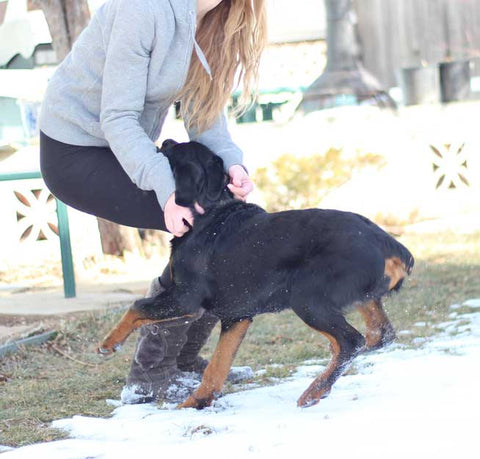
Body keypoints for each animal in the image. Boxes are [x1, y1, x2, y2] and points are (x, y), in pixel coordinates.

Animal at [97, 140, 412, 410]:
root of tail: (391, 246)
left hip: (308, 298)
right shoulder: (237, 315)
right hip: (359, 297)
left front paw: (108, 344)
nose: (165, 141)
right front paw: (196, 403)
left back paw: (315, 391)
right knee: (379, 334)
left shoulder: (185, 298)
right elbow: (218, 365)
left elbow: (137, 307)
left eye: (173, 151)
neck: (210, 210)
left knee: (350, 341)